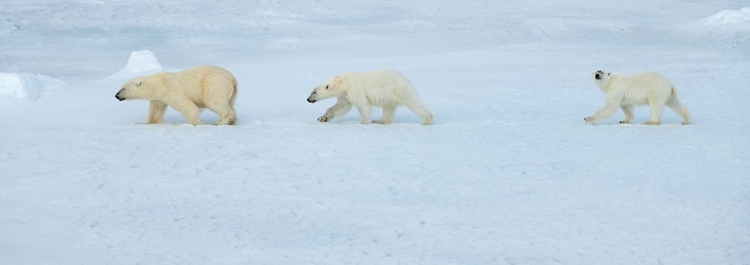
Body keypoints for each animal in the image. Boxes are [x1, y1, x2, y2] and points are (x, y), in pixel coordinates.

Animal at [306, 69, 434, 125]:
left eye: (314, 92)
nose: (308, 99)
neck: (343, 82)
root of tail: (406, 80)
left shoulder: (354, 89)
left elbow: (361, 104)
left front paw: (364, 122)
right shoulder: (345, 95)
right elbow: (342, 106)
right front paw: (323, 118)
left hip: (398, 90)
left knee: (412, 103)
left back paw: (427, 120)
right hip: (389, 97)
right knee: (388, 109)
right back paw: (380, 121)